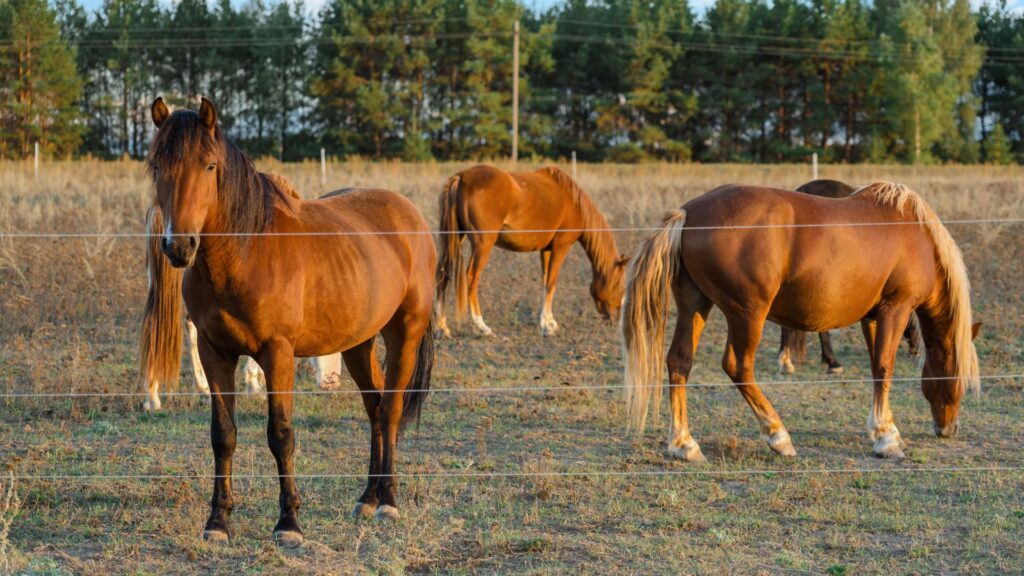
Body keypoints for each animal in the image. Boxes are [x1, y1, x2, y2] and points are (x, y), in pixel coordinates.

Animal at [140, 96, 436, 545]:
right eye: (157, 165)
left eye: (209, 166)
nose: (179, 246)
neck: (244, 253)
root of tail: (412, 216)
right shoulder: (214, 352)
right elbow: (223, 435)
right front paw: (218, 522)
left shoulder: (277, 354)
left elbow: (281, 435)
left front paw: (289, 523)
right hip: (358, 343)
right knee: (375, 407)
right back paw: (367, 499)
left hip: (405, 332)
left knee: (390, 408)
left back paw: (388, 501)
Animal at [430, 163, 622, 336]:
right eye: (618, 285)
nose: (616, 319)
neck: (573, 203)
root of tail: (462, 177)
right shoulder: (561, 247)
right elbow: (552, 283)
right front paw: (547, 326)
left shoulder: (546, 250)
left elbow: (545, 281)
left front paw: (548, 321)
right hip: (482, 245)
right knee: (471, 278)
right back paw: (482, 326)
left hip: (456, 238)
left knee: (443, 274)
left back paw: (442, 327)